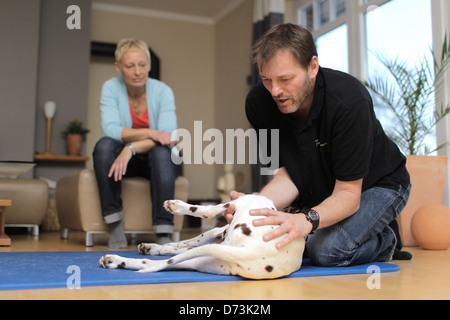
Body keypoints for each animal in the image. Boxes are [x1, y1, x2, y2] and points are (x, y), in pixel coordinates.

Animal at [99, 194, 306, 278]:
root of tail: (254, 251)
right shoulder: (214, 235)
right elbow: (183, 243)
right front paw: (154, 247)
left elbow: (206, 212)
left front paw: (176, 206)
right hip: (203, 260)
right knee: (155, 264)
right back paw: (114, 260)